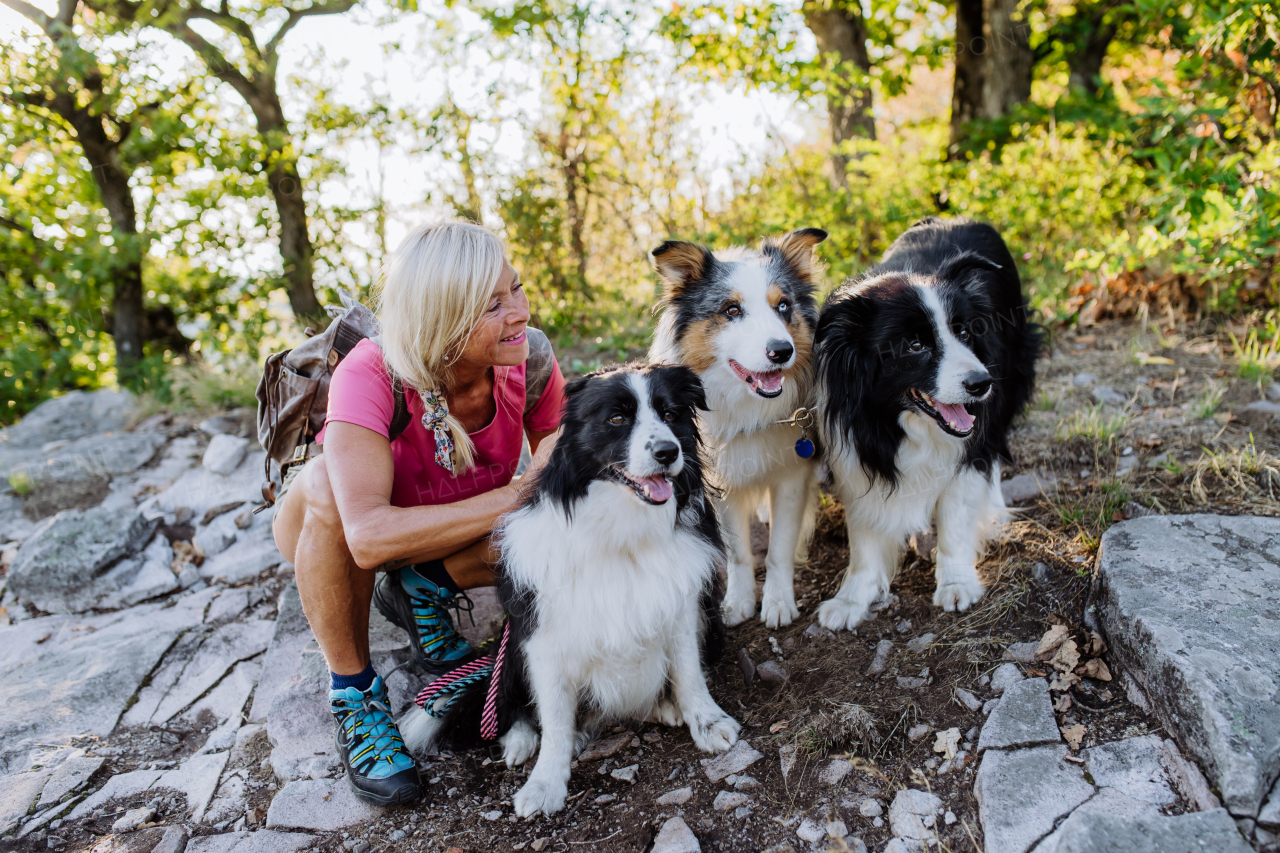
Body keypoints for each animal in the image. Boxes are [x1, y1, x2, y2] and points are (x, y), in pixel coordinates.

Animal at [399, 361, 742, 814]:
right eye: (617, 419)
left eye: (670, 414)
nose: (669, 452)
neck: (623, 534)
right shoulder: (542, 638)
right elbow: (556, 720)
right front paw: (545, 783)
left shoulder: (682, 607)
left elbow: (689, 674)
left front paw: (707, 722)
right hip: (511, 645)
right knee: (508, 703)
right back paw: (519, 739)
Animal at [814, 217, 1044, 630]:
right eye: (915, 345)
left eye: (965, 332)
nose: (981, 384)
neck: (902, 420)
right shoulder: (854, 448)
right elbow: (863, 534)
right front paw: (850, 599)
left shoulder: (968, 444)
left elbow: (956, 510)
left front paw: (956, 583)